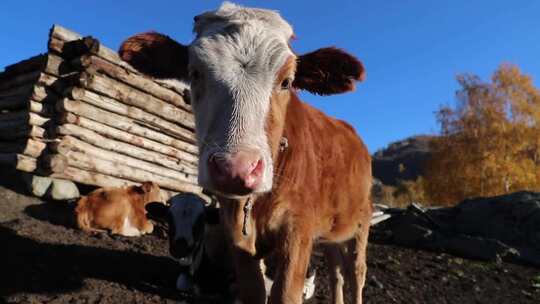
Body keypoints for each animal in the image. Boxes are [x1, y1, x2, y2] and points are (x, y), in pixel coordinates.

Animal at [118, 1, 372, 302]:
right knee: (336, 272)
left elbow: (286, 293)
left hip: (362, 223)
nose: (235, 170)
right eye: (194, 73)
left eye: (287, 81)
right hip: (332, 232)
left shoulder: (298, 229)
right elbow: (253, 290)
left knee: (356, 272)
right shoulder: (237, 237)